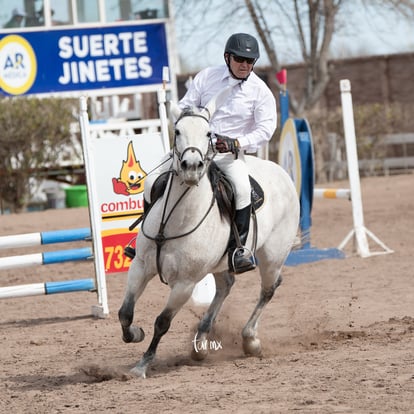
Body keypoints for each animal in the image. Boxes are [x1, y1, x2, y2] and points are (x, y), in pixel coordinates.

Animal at [118, 95, 300, 376]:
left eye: (208, 133)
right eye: (177, 131)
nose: (192, 167)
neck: (175, 219)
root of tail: (281, 172)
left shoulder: (185, 284)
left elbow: (162, 322)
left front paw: (143, 365)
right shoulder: (140, 266)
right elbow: (125, 313)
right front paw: (136, 333)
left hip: (273, 256)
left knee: (268, 290)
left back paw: (250, 340)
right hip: (220, 264)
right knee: (225, 286)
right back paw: (201, 341)